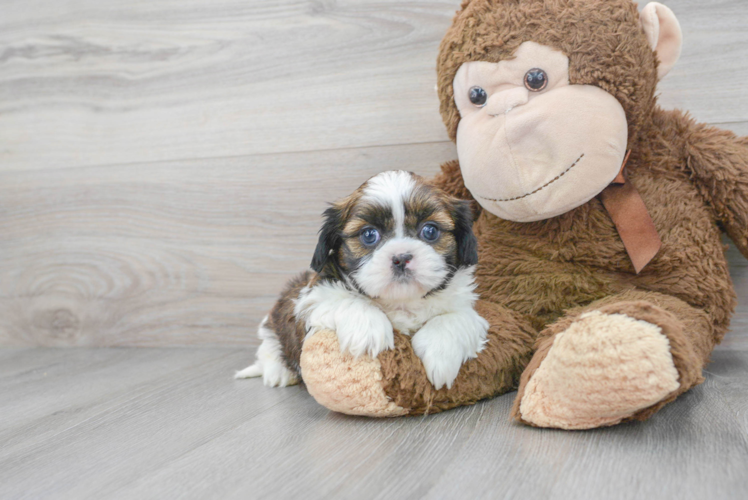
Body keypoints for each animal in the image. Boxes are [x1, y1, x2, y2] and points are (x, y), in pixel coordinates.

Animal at [237, 170, 488, 388]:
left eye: (430, 231)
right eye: (369, 234)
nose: (401, 258)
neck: (401, 302)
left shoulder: (464, 306)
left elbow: (455, 318)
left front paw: (440, 355)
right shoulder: (313, 293)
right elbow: (346, 299)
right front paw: (368, 330)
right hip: (275, 321)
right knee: (268, 347)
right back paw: (279, 372)